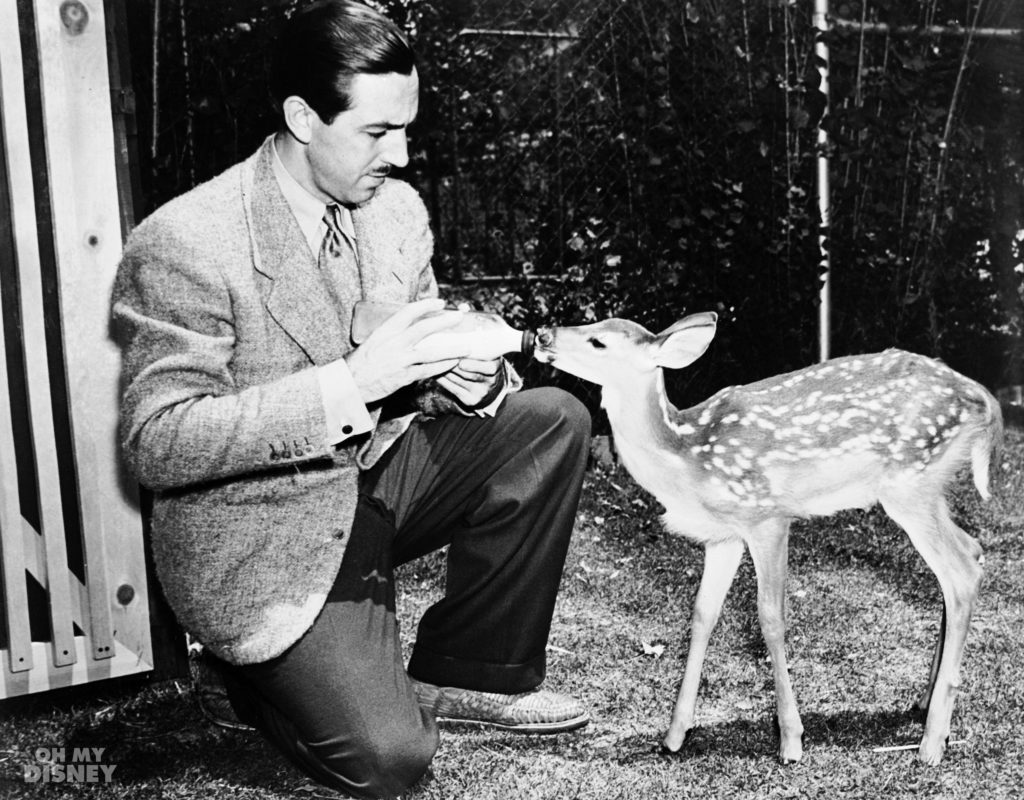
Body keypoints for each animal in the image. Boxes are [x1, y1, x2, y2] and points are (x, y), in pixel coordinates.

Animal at [533, 313, 1002, 765]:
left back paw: (932, 742)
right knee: (969, 554)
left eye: (599, 341)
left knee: (961, 572)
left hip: (910, 484)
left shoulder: (768, 517)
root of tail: (985, 400)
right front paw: (674, 735)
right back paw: (923, 704)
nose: (541, 334)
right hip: (926, 488)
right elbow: (702, 616)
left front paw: (791, 741)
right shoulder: (723, 536)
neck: (688, 457)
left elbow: (771, 619)